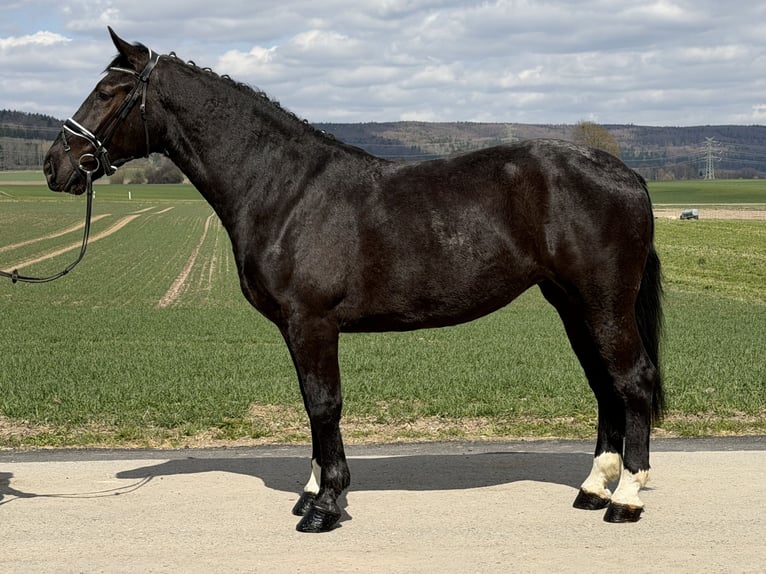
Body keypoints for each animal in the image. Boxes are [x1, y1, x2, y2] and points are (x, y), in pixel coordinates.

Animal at [44, 28, 664, 533]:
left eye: (107, 93)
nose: (55, 165)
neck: (285, 189)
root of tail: (627, 175)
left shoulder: (312, 322)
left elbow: (324, 404)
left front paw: (325, 506)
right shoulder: (298, 329)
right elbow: (310, 405)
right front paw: (313, 491)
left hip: (603, 304)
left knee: (631, 381)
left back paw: (626, 499)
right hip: (573, 305)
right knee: (605, 385)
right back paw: (593, 489)